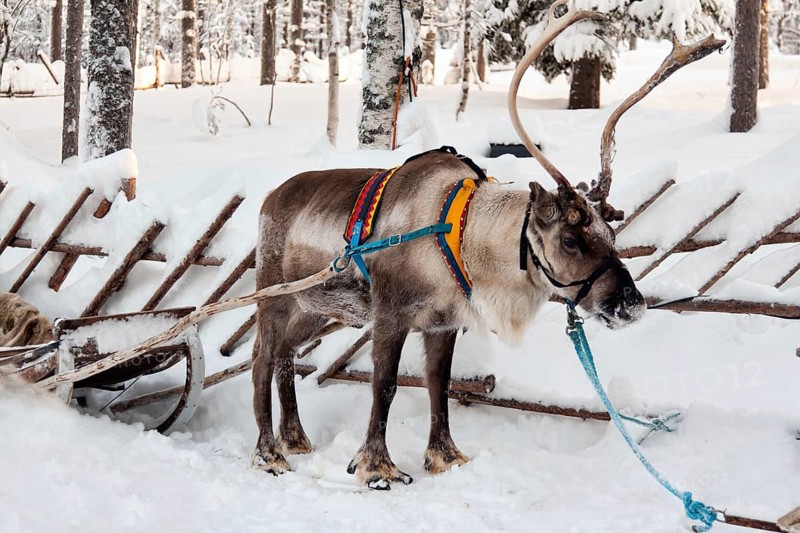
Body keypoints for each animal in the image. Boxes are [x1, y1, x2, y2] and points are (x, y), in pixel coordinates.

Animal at [250, 0, 725, 489]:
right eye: (571, 240)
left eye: (611, 234)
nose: (632, 304)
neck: (465, 238)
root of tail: (269, 198)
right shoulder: (391, 314)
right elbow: (385, 385)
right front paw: (376, 467)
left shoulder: (441, 323)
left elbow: (439, 385)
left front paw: (445, 457)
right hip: (274, 297)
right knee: (262, 359)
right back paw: (269, 453)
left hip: (314, 307)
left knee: (285, 356)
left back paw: (295, 439)